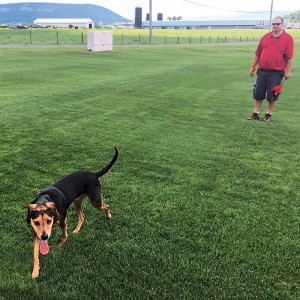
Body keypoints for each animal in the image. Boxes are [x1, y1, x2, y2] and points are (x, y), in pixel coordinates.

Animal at [26, 146, 118, 278]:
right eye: (36, 222)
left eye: (49, 221)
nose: (44, 237)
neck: (44, 199)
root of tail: (93, 174)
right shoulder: (36, 233)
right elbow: (35, 255)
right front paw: (35, 271)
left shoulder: (63, 220)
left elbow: (64, 236)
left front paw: (60, 246)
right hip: (77, 202)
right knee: (82, 216)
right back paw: (77, 229)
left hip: (95, 201)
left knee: (106, 206)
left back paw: (109, 216)